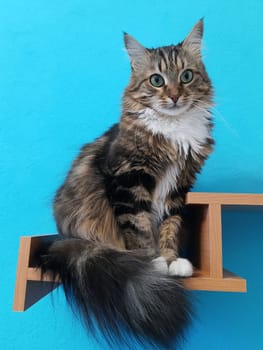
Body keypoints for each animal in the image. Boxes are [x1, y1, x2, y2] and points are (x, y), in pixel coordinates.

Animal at [38, 19, 214, 350]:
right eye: (157, 80)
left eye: (186, 76)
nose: (174, 96)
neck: (173, 134)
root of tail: (62, 236)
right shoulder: (128, 181)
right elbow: (139, 228)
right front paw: (154, 262)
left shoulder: (178, 188)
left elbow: (169, 227)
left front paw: (172, 260)